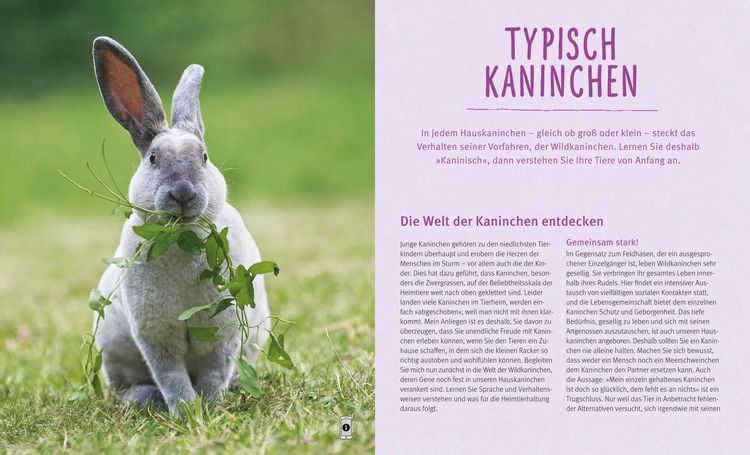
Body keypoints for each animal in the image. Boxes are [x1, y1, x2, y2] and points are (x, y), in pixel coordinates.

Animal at [91, 36, 270, 415]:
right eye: (153, 159)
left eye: (204, 157)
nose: (184, 193)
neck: (182, 238)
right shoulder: (156, 335)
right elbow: (171, 375)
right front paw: (186, 410)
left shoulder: (221, 332)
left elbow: (215, 370)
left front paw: (210, 406)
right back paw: (146, 399)